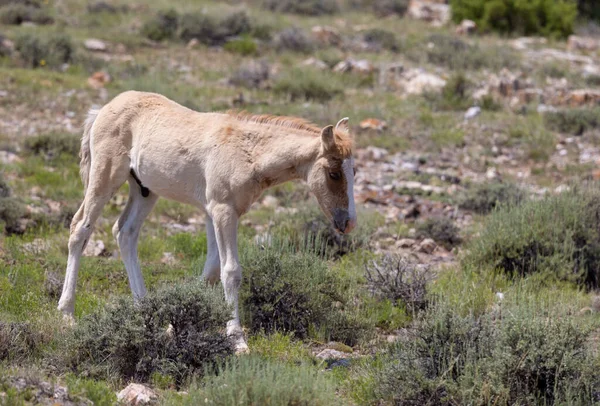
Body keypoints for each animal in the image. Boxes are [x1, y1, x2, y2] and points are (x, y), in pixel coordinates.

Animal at [57, 90, 356, 350]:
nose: (348, 222)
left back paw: (143, 310)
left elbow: (212, 270)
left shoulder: (211, 212)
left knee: (125, 232)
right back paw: (67, 314)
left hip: (145, 190)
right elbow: (231, 271)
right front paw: (237, 339)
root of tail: (103, 108)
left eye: (354, 171)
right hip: (105, 177)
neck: (247, 151)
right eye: (333, 173)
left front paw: (172, 324)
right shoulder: (223, 211)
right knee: (80, 228)